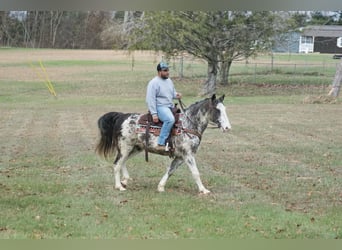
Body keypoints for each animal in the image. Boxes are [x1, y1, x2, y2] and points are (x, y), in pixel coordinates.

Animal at [95, 94, 231, 193]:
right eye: (217, 110)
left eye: (224, 109)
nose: (227, 128)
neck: (187, 125)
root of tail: (122, 116)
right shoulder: (188, 155)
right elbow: (195, 173)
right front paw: (204, 190)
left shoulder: (180, 157)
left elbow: (170, 170)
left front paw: (160, 187)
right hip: (125, 147)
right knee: (117, 164)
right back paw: (119, 186)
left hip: (135, 148)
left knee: (123, 162)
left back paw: (125, 181)